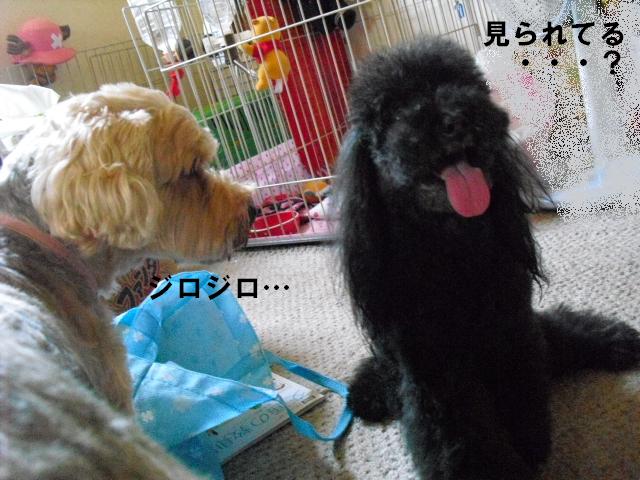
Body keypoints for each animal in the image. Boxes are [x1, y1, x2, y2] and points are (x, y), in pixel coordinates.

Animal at [336, 38, 640, 479]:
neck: (453, 250)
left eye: (469, 86)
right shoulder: (436, 370)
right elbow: (463, 437)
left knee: (558, 333)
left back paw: (616, 341)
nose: (456, 120)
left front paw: (529, 445)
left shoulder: (510, 326)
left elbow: (524, 392)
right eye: (393, 110)